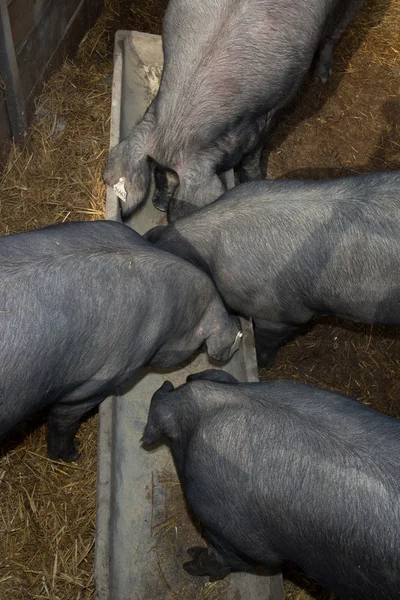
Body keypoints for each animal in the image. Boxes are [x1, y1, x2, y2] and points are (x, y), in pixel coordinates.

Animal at [103, 0, 362, 221]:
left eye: (176, 176)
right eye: (156, 169)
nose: (157, 203)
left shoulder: (271, 111)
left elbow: (254, 152)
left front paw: (255, 178)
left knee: (336, 30)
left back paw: (321, 77)